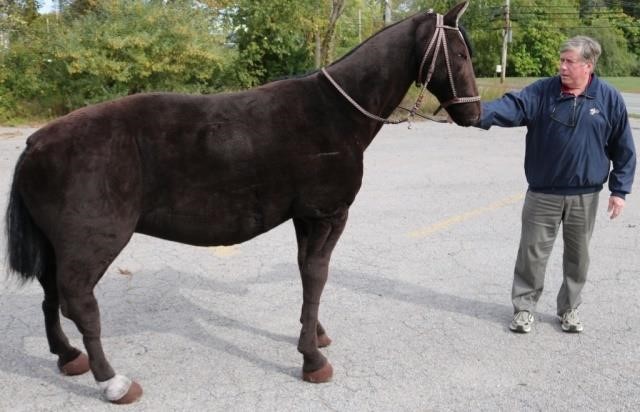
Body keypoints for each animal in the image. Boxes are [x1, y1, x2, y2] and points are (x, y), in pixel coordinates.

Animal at [3, 1, 476, 404]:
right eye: (459, 53)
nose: (473, 113)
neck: (335, 112)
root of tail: (36, 142)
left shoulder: (305, 217)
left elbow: (307, 274)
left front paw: (314, 333)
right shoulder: (326, 215)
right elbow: (317, 276)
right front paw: (312, 359)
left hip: (58, 244)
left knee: (50, 292)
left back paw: (68, 356)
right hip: (92, 242)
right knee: (78, 301)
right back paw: (113, 381)